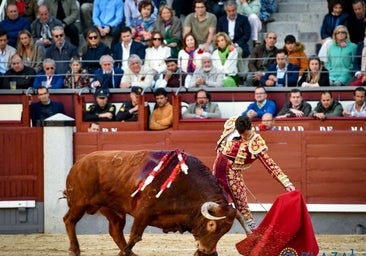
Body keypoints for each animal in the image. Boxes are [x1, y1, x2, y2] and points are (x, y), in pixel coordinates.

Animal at [63, 150, 246, 256]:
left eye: (225, 231)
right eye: (211, 225)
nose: (205, 251)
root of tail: (78, 164)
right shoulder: (144, 211)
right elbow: (135, 236)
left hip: (112, 209)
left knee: (115, 230)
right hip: (79, 203)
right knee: (69, 220)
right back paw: (74, 250)